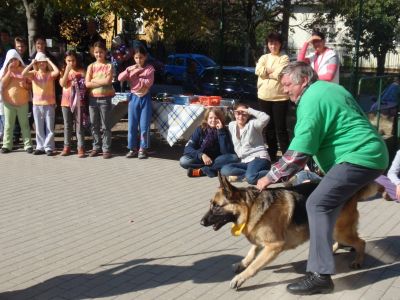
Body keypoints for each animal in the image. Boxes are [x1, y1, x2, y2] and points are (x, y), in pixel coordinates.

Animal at [200, 175, 382, 290]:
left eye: (216, 206)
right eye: (211, 204)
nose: (201, 222)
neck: (250, 207)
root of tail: (352, 192)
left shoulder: (273, 246)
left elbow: (254, 266)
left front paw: (240, 278)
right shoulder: (260, 240)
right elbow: (252, 252)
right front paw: (242, 263)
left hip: (340, 231)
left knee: (361, 242)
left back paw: (358, 260)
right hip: (334, 229)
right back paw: (333, 250)